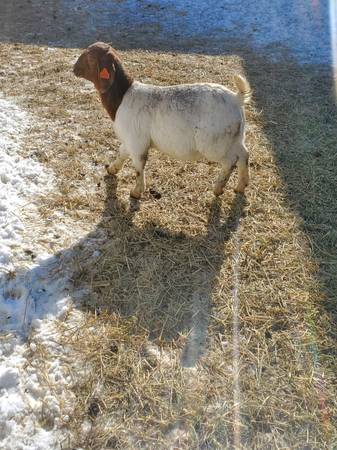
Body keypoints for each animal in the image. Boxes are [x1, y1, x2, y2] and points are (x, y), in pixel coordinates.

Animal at [74, 42, 252, 199]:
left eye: (90, 57)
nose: (74, 68)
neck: (123, 96)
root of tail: (236, 99)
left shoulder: (137, 142)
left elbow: (138, 166)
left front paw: (136, 192)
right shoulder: (129, 139)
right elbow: (122, 152)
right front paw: (111, 169)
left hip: (213, 143)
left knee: (230, 161)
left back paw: (218, 189)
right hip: (235, 137)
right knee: (244, 154)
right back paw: (240, 187)